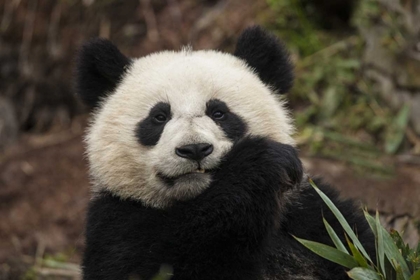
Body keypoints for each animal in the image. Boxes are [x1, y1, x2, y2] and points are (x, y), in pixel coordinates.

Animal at [75, 25, 374, 278]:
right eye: (159, 117)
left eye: (219, 113)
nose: (194, 149)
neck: (198, 200)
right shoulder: (116, 220)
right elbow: (152, 264)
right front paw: (259, 163)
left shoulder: (310, 213)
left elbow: (358, 247)